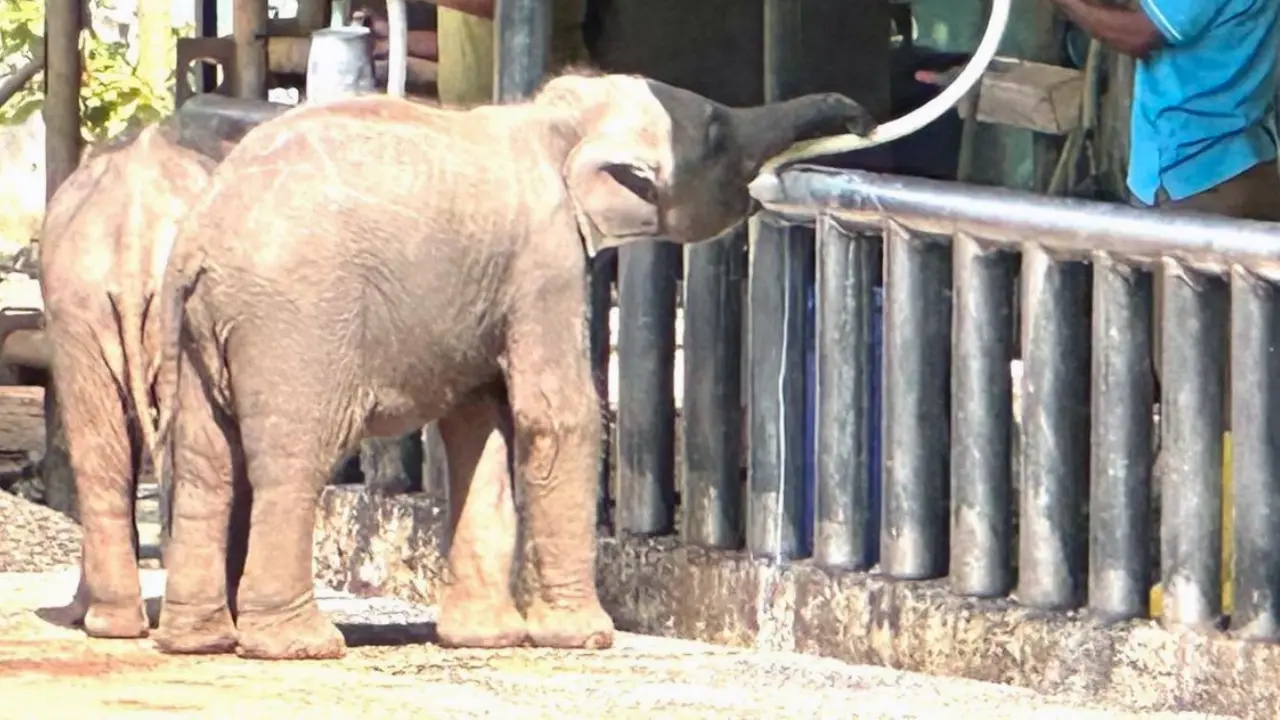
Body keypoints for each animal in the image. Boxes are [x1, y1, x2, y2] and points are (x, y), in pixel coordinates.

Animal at [151, 70, 875, 660]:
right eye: (719, 132)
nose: (861, 119)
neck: (554, 121)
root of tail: (199, 243)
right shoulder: (544, 260)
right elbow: (559, 415)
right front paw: (586, 638)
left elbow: (479, 425)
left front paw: (488, 639)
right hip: (296, 323)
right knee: (293, 460)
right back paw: (300, 646)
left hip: (203, 333)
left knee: (206, 462)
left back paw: (198, 641)